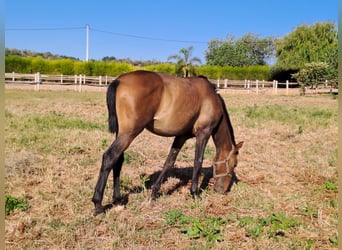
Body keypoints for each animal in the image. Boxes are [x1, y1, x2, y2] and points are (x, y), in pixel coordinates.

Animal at [91, 70, 243, 215]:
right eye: (234, 164)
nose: (221, 190)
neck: (211, 98)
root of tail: (119, 80)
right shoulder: (203, 134)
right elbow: (198, 162)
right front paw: (195, 193)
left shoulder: (181, 137)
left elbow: (169, 162)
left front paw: (154, 194)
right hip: (129, 133)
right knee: (109, 157)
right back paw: (98, 205)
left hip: (122, 133)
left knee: (118, 160)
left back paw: (117, 199)